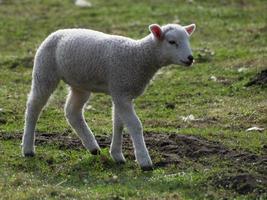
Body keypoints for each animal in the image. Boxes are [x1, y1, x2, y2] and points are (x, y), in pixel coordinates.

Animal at [21, 23, 197, 170]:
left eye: (188, 40)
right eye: (172, 42)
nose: (190, 58)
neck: (138, 56)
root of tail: (57, 32)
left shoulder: (121, 93)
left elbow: (119, 124)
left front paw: (117, 155)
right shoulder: (121, 91)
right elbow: (135, 125)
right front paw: (144, 161)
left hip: (80, 84)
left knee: (72, 112)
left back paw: (93, 147)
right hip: (44, 71)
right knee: (33, 107)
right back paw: (28, 149)